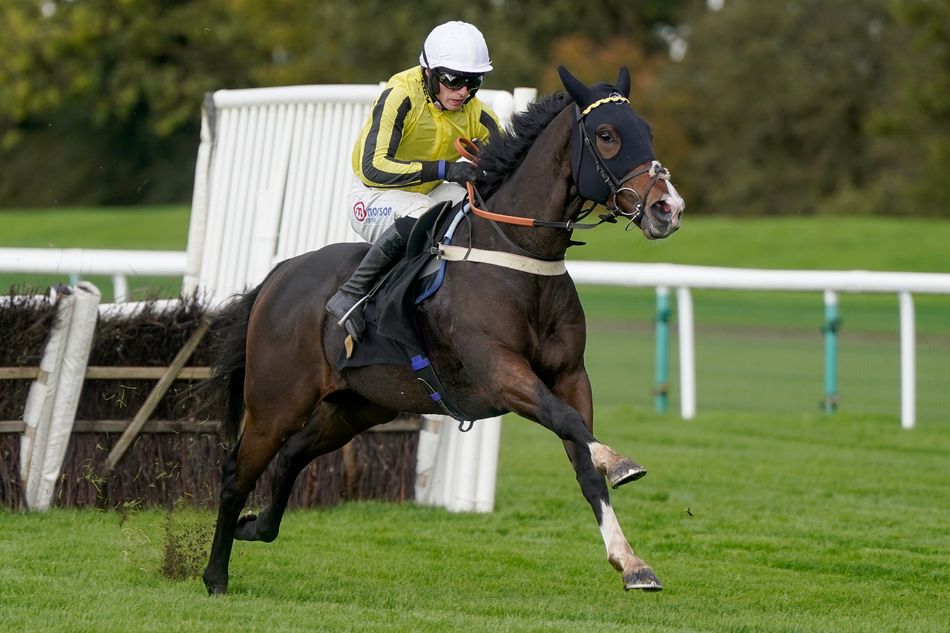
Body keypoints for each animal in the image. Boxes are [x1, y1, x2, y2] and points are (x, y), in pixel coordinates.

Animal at [200, 65, 685, 596]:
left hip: (355, 406)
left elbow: (583, 460)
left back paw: (254, 528)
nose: (668, 208)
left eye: (647, 131)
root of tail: (279, 274)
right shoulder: (500, 372)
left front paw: (631, 561)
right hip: (276, 401)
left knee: (290, 456)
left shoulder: (570, 375)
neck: (518, 253)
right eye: (607, 135)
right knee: (236, 470)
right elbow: (571, 424)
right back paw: (215, 574)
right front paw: (620, 462)